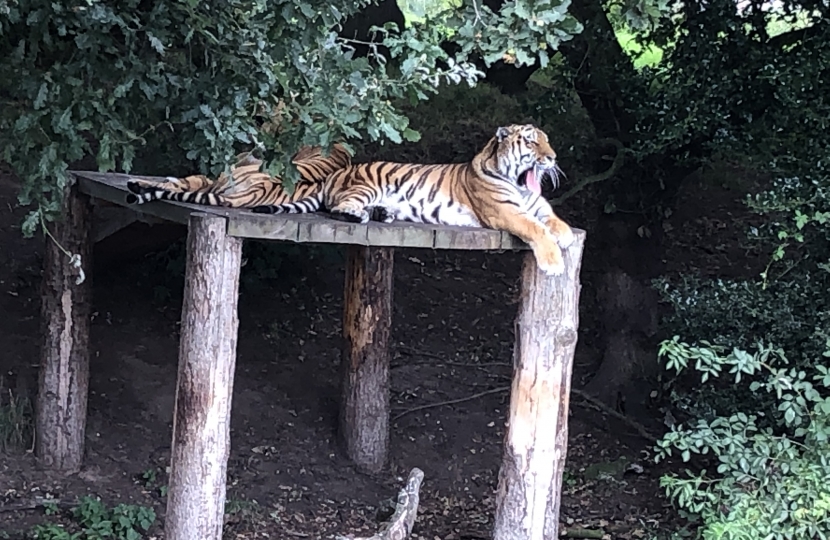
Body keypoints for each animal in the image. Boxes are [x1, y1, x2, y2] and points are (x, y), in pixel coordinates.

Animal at [252, 122, 580, 274]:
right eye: (531, 142)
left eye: (547, 141)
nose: (553, 158)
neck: (520, 185)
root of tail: (334, 175)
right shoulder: (505, 211)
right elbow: (535, 228)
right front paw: (553, 262)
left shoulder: (538, 207)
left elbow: (553, 220)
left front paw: (565, 236)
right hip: (364, 186)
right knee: (339, 207)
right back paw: (360, 215)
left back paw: (383, 214)